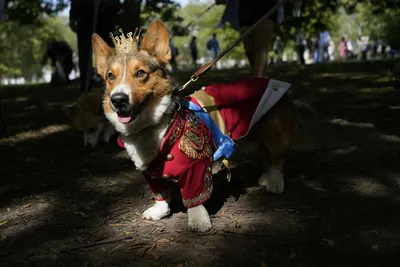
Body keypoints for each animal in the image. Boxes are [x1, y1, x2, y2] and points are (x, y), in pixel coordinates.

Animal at [91, 19, 300, 232]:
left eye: (140, 73)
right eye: (110, 76)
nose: (118, 99)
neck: (150, 127)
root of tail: (278, 84)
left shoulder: (195, 166)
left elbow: (194, 196)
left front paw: (198, 220)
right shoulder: (150, 172)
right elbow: (160, 193)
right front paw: (159, 211)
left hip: (276, 135)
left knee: (277, 158)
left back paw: (274, 181)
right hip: (256, 137)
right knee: (265, 156)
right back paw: (266, 177)